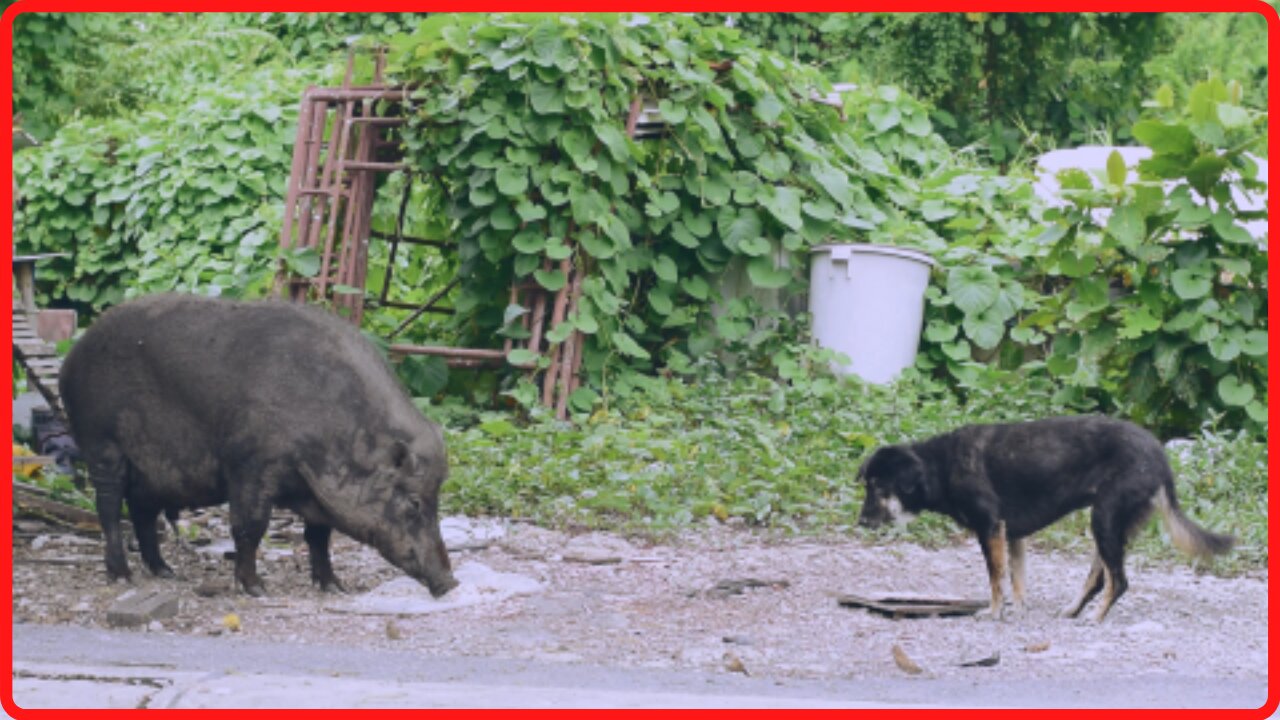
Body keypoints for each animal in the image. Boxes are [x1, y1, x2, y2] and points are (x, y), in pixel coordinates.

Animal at [61, 292, 460, 594]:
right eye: (414, 503)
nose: (450, 583)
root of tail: (70, 360)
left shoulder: (317, 493)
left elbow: (318, 536)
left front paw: (334, 587)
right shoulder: (249, 465)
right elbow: (250, 527)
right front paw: (255, 589)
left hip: (151, 470)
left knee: (142, 510)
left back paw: (166, 572)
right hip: (102, 446)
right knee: (109, 509)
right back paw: (121, 576)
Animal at [855, 412, 1233, 620]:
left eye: (877, 487)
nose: (861, 523)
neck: (939, 467)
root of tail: (1159, 457)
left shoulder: (990, 528)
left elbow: (996, 579)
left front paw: (994, 613)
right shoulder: (1012, 535)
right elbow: (1017, 580)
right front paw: (1018, 610)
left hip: (1104, 519)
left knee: (1119, 581)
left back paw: (1095, 619)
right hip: (1109, 525)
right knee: (1099, 579)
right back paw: (1074, 611)